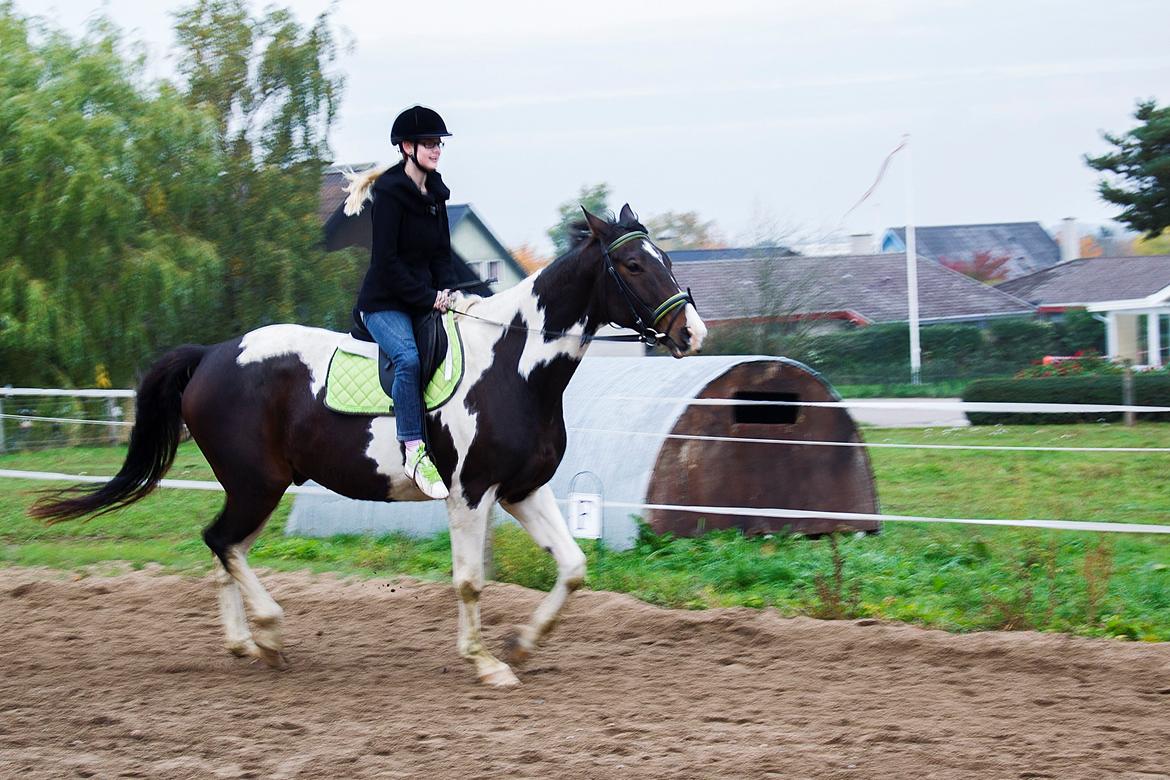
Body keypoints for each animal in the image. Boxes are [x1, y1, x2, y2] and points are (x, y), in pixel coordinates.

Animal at [32, 204, 706, 687]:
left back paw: (246, 643)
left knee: (227, 548)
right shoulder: (470, 494)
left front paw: (521, 645)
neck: (514, 366)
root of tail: (212, 354)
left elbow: (573, 568)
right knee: (221, 542)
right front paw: (485, 663)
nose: (691, 334)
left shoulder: (521, 490)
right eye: (636, 266)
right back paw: (270, 634)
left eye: (667, 257)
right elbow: (469, 582)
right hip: (257, 485)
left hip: (259, 487)